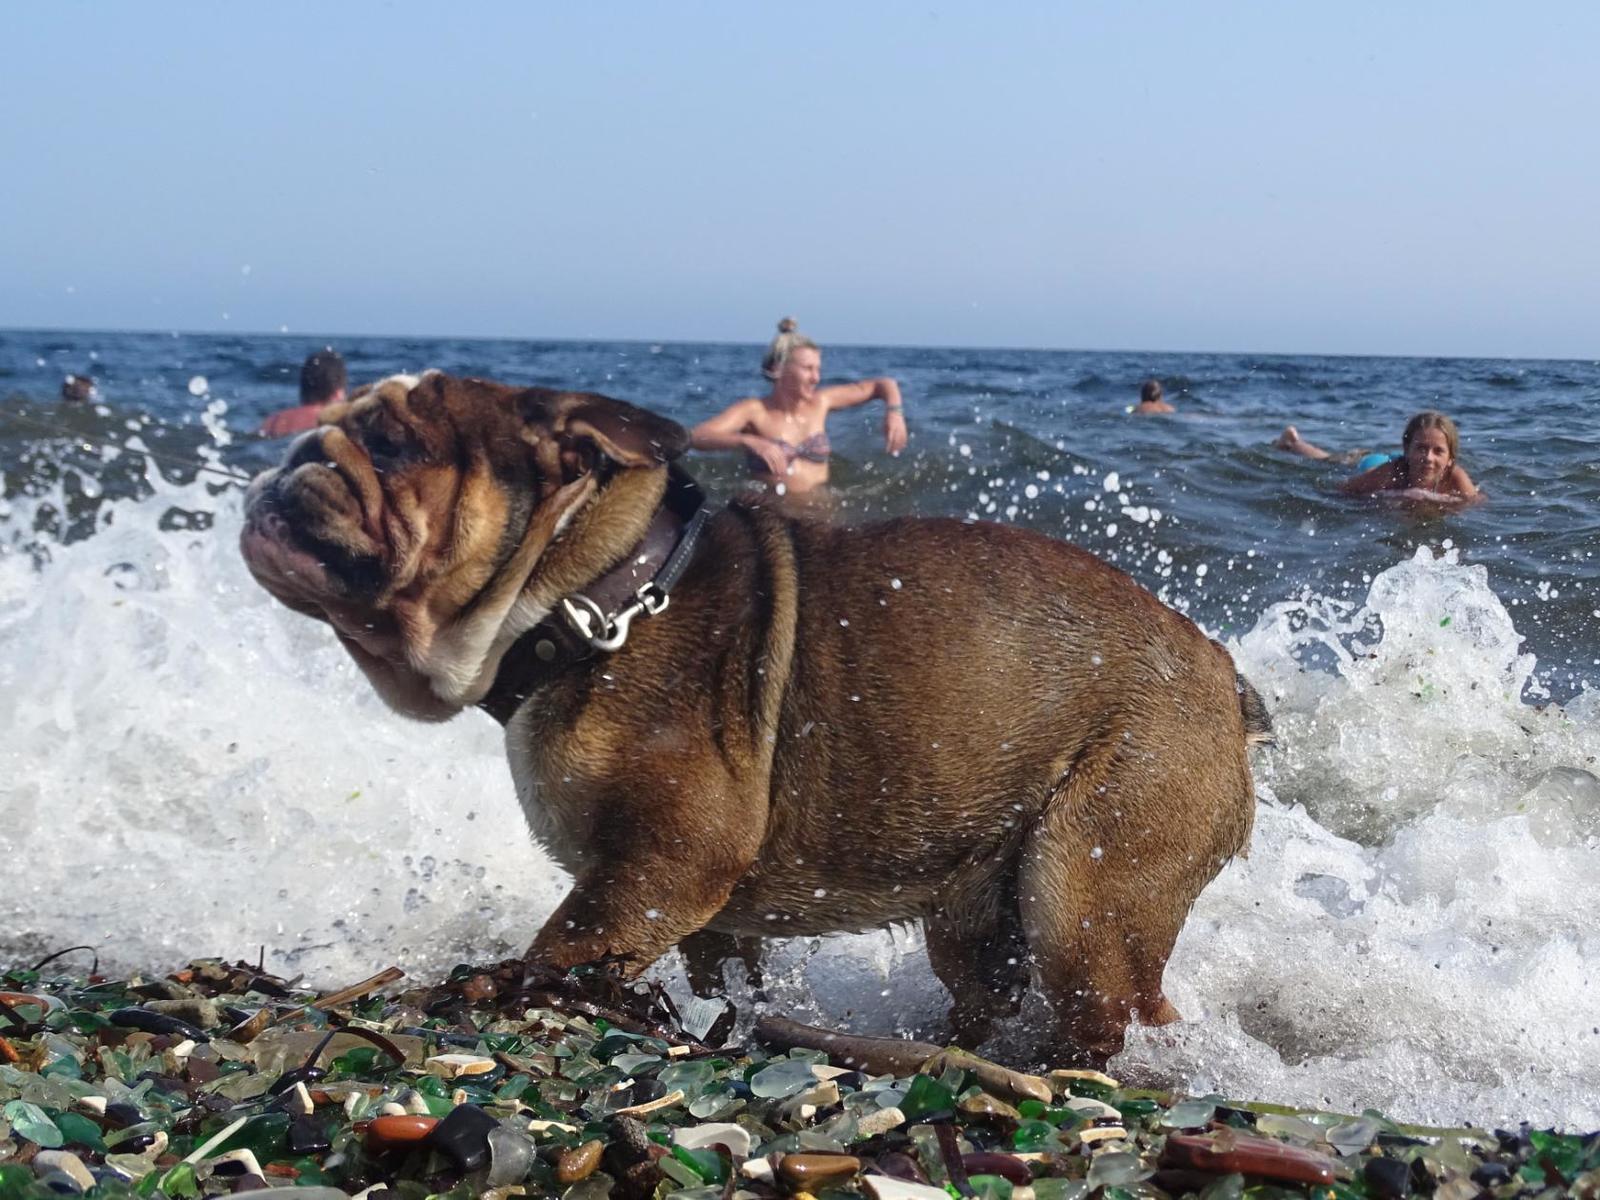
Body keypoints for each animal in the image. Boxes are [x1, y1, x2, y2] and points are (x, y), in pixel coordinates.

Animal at [240, 374, 1260, 1062]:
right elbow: (719, 970)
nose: (295, 454)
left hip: (1088, 887)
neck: (594, 596)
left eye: (392, 446)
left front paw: (501, 984)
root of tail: (1224, 675)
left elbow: (563, 941)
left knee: (1112, 1010)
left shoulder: (659, 866)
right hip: (981, 904)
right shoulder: (701, 912)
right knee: (988, 989)